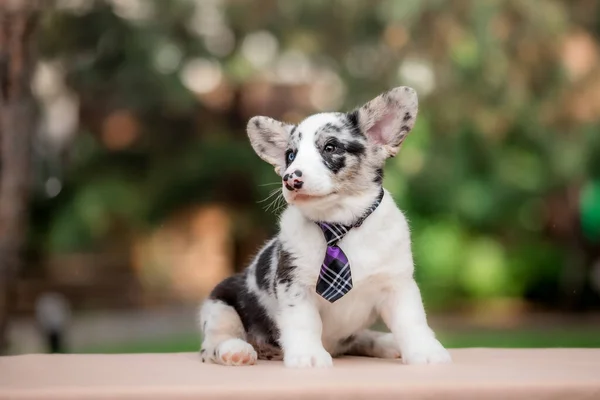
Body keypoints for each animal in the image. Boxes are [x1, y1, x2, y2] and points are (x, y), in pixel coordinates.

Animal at [199, 86, 452, 368]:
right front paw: (308, 355)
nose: (290, 179)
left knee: (360, 338)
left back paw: (387, 343)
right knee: (214, 342)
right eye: (290, 155)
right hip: (220, 304)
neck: (340, 224)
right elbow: (305, 323)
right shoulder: (294, 285)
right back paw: (236, 350)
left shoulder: (397, 284)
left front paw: (426, 352)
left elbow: (412, 321)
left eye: (330, 147)